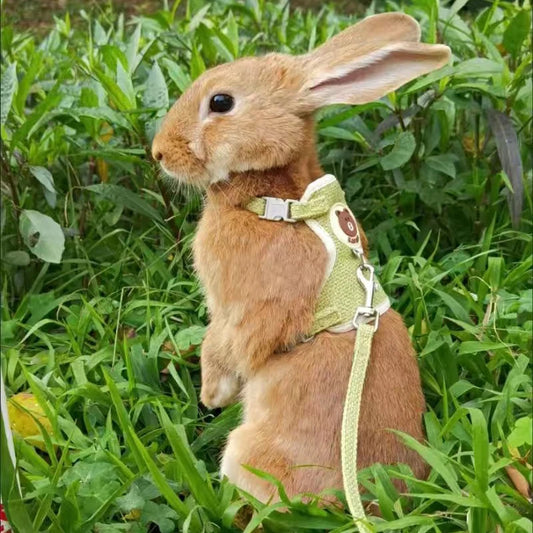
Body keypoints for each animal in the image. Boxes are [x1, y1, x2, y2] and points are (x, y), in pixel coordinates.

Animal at [152, 11, 450, 502]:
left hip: (246, 450)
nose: (158, 152)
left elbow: (227, 345)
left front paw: (212, 395)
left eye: (220, 102)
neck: (274, 199)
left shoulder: (241, 311)